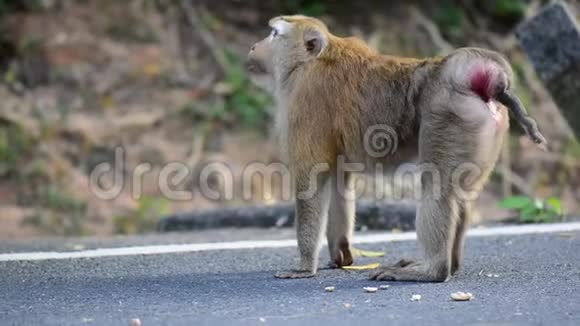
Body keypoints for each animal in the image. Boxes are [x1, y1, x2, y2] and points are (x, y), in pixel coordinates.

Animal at [246, 14, 548, 280]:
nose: (252, 46)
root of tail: (483, 84)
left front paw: (304, 267)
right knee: (462, 195)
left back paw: (432, 271)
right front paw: (340, 255)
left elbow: (311, 179)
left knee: (438, 189)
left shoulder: (305, 101)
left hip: (450, 117)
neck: (305, 63)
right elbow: (339, 180)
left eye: (273, 33)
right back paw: (448, 265)